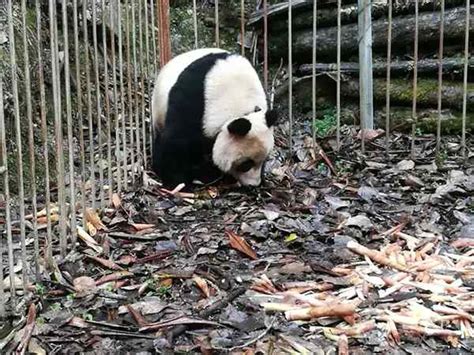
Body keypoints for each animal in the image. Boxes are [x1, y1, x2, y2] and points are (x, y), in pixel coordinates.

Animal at [152, 48, 278, 191]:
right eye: (245, 165)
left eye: (265, 160)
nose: (253, 184)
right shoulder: (194, 98)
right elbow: (177, 138)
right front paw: (177, 183)